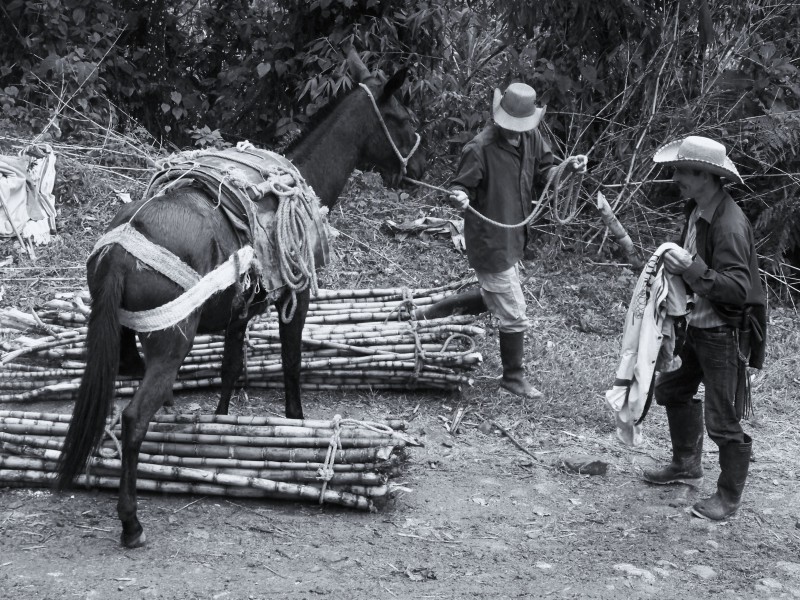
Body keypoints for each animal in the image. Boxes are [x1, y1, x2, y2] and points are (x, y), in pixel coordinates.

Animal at [54, 51, 424, 548]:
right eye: (403, 118)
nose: (415, 172)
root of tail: (119, 250)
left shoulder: (237, 315)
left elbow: (230, 370)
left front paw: (223, 424)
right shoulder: (296, 298)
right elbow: (291, 365)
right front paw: (295, 423)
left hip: (122, 339)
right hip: (171, 345)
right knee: (133, 418)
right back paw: (130, 522)